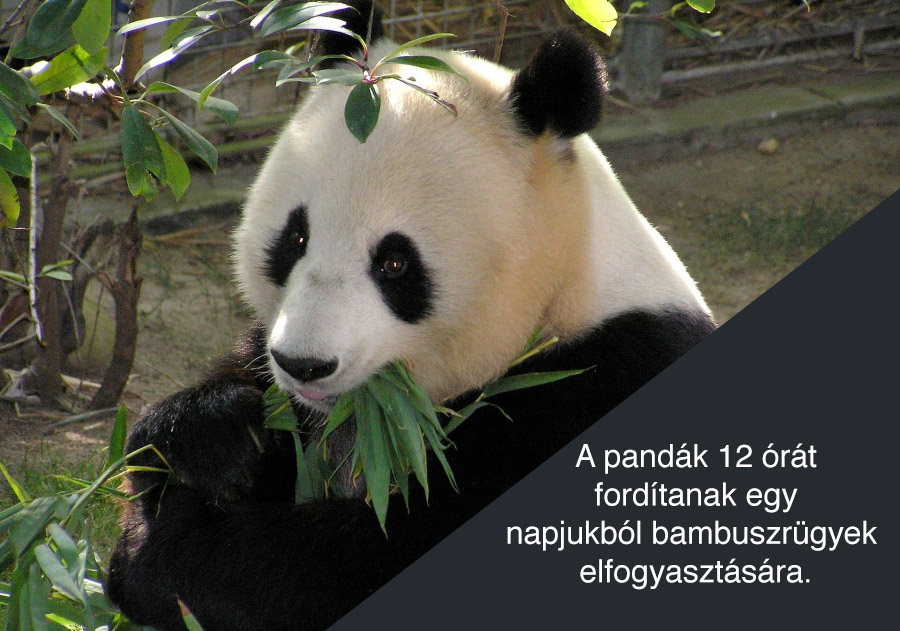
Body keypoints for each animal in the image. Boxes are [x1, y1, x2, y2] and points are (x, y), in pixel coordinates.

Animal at [107, 2, 716, 629]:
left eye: (395, 263)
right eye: (296, 237)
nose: (304, 365)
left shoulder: (592, 385)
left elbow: (370, 560)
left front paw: (172, 554)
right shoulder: (281, 374)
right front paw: (213, 436)